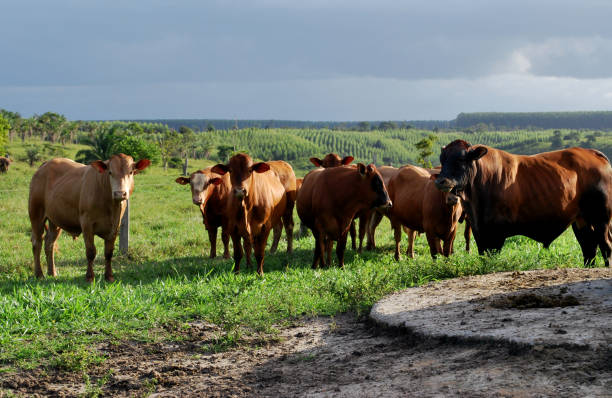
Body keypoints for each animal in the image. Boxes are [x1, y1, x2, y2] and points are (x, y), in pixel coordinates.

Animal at [29, 154, 152, 282]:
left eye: (131, 172)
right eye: (110, 172)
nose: (120, 193)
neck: (110, 205)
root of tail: (45, 164)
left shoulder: (115, 226)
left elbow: (109, 253)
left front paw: (109, 276)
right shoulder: (86, 224)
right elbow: (91, 251)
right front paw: (89, 277)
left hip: (55, 220)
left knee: (50, 243)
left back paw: (52, 272)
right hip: (36, 214)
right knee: (37, 242)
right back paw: (39, 274)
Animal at [436, 140, 612, 268]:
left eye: (460, 159)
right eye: (442, 160)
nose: (440, 181)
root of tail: (592, 153)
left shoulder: (495, 234)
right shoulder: (480, 232)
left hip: (602, 218)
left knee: (606, 245)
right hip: (582, 220)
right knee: (589, 247)